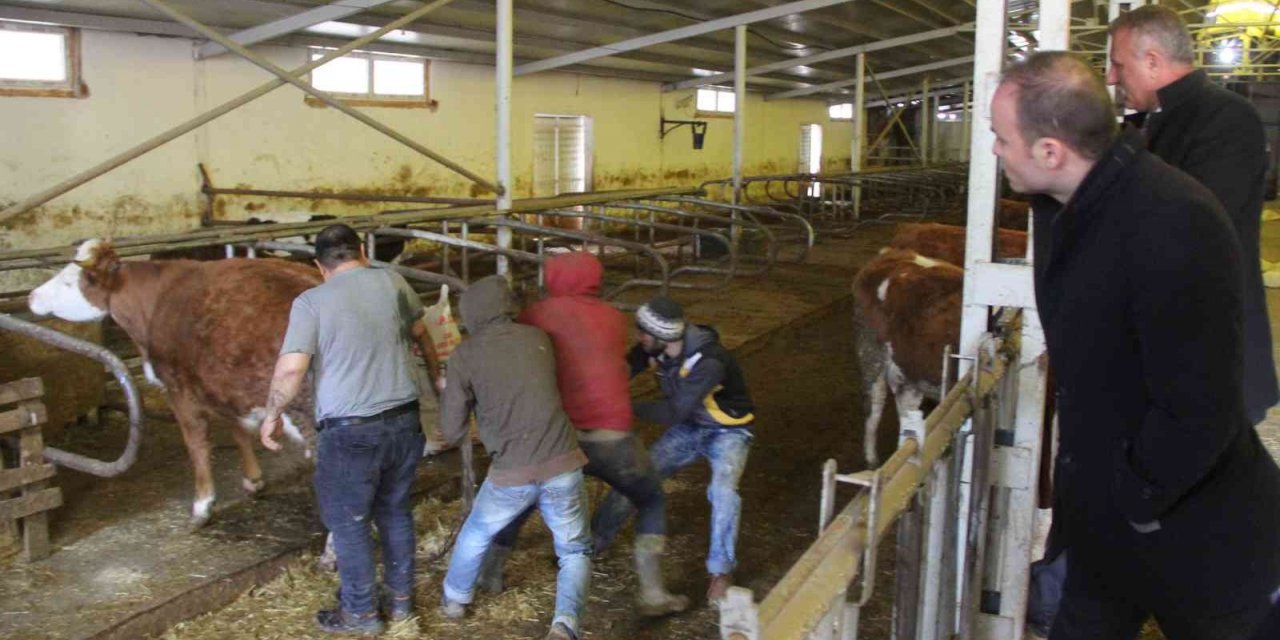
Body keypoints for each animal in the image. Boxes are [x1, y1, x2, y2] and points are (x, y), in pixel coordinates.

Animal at [30, 238, 320, 527]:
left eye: (70, 281)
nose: (32, 295)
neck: (155, 304)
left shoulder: (179, 389)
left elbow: (196, 445)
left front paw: (202, 505)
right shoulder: (222, 386)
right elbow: (238, 431)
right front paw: (253, 479)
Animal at [849, 245, 962, 465]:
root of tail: (893, 253)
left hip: (909, 373)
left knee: (907, 416)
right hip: (871, 355)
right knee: (874, 409)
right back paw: (872, 461)